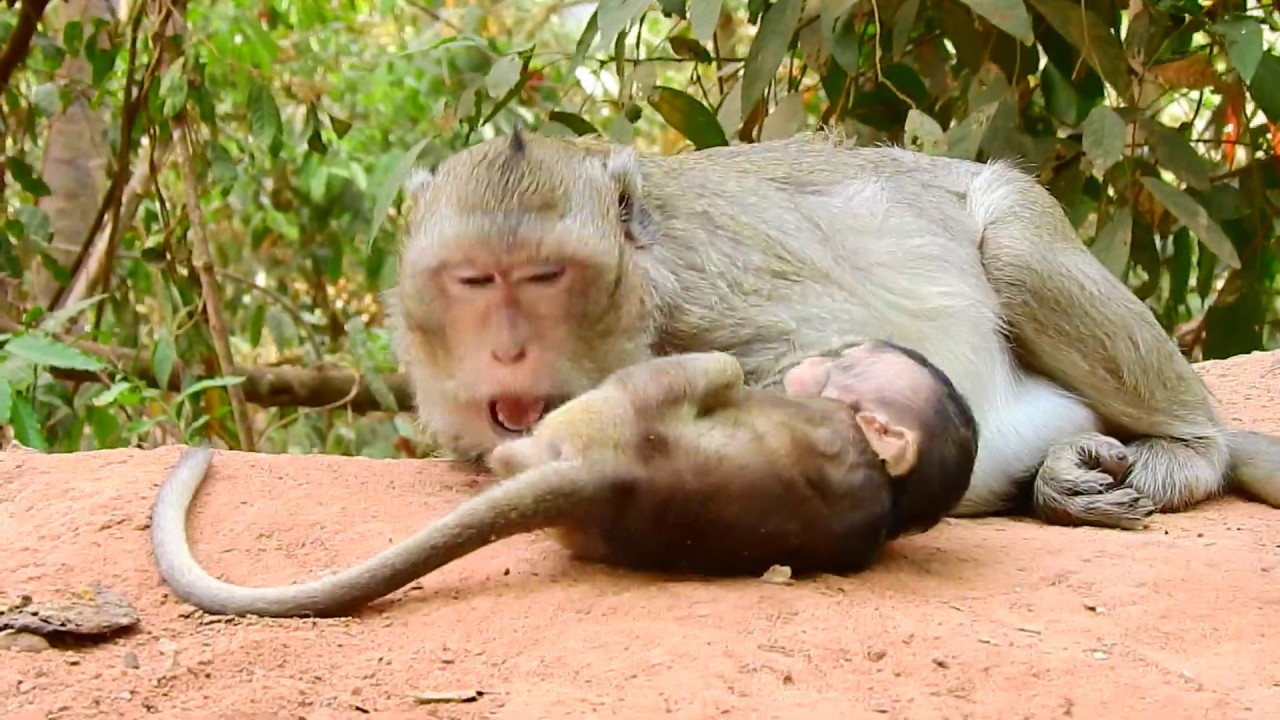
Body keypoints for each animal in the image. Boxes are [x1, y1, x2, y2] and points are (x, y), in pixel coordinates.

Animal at [149, 343, 979, 618]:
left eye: (844, 363)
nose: (817, 357)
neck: (887, 483)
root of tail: (606, 475)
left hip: (606, 414)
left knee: (716, 369)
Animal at [382, 127, 1280, 530]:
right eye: (471, 280)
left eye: (546, 279)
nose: (507, 348)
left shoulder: (706, 293)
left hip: (1023, 223)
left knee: (1013, 248)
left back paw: (1187, 449)